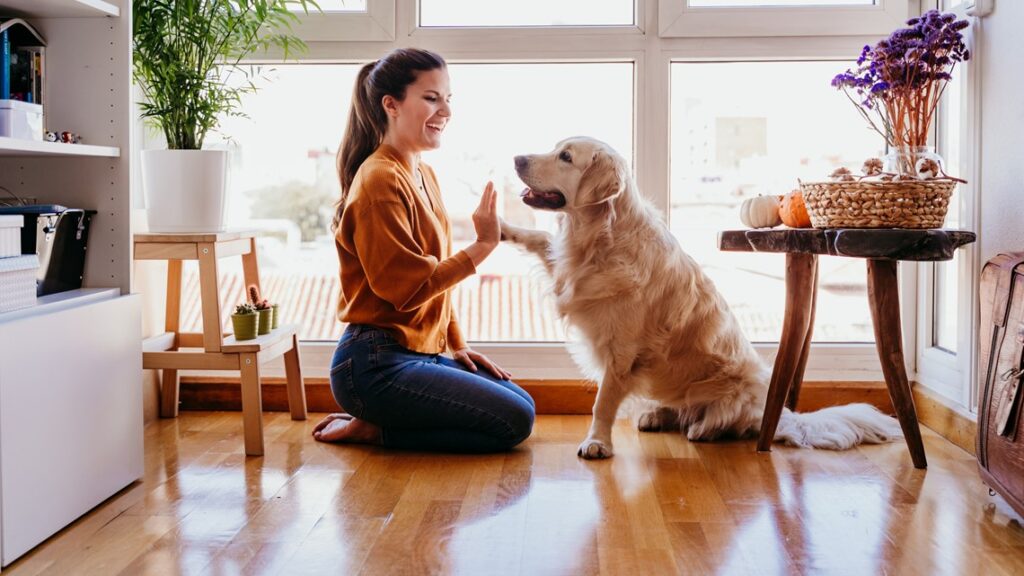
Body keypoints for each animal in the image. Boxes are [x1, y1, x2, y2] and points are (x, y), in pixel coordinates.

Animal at [499, 135, 901, 457]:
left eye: (566, 157)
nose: (516, 158)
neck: (599, 238)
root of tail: (778, 413)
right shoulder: (567, 271)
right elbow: (539, 239)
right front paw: (500, 227)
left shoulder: (622, 352)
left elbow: (603, 403)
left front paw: (597, 442)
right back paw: (657, 415)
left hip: (735, 389)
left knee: (727, 422)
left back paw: (703, 429)